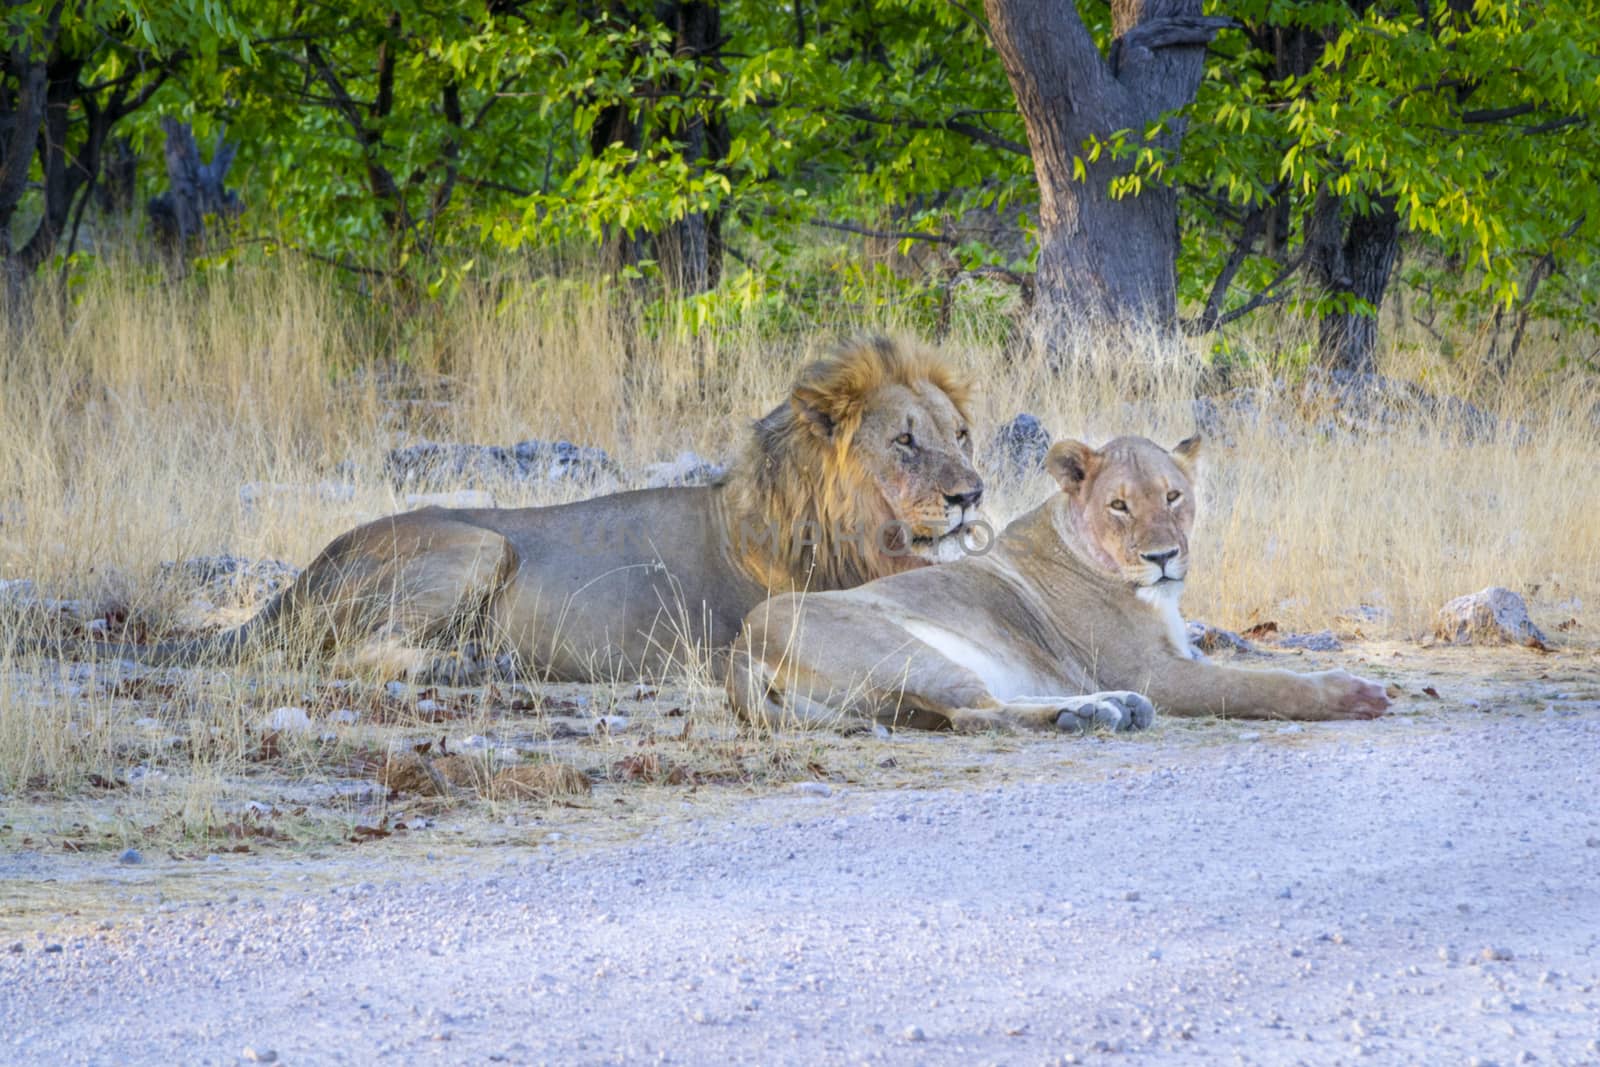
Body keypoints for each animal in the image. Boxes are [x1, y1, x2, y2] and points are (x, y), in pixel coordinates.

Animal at [65, 337, 985, 681]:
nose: (971, 494)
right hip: (475, 546)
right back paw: (469, 664)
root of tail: (303, 574)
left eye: (962, 435)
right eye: (904, 442)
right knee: (349, 656)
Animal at [729, 435, 1388, 735]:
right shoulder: (1156, 671)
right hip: (903, 651)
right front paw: (1351, 693)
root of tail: (739, 649)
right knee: (975, 713)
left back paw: (1113, 708)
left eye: (1173, 496)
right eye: (1119, 505)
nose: (1163, 556)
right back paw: (1088, 714)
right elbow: (1260, 683)